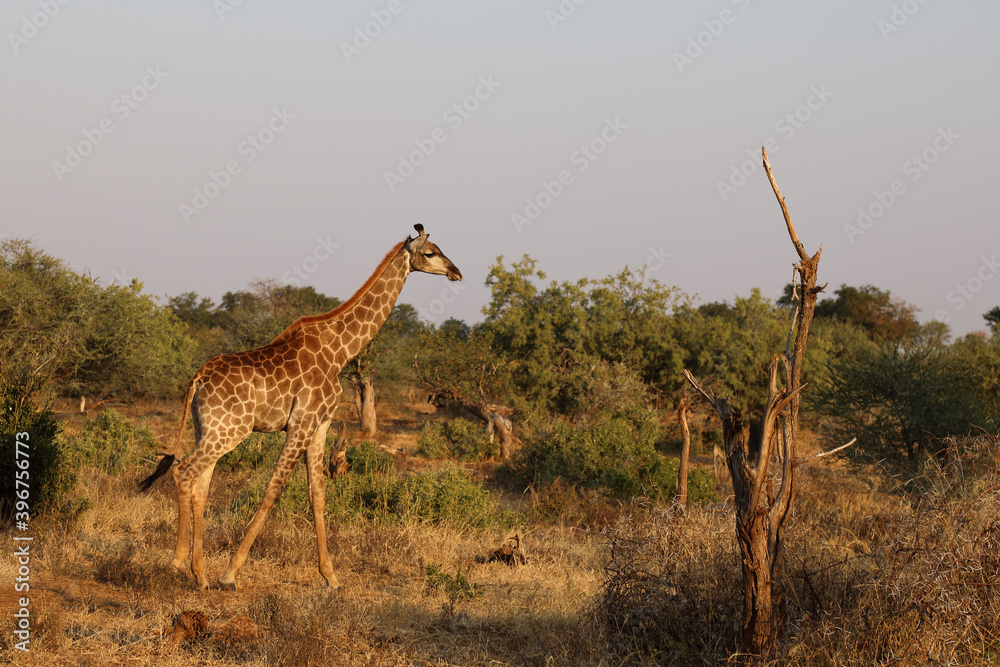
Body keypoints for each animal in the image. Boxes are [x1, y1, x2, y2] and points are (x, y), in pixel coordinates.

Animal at [139, 224, 461, 590]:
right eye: (431, 252)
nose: (456, 272)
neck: (341, 350)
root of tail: (197, 378)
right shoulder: (301, 423)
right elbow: (274, 490)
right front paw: (232, 573)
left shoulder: (320, 425)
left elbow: (317, 494)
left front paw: (331, 577)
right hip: (231, 430)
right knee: (183, 471)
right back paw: (180, 562)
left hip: (206, 428)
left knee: (200, 485)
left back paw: (201, 574)